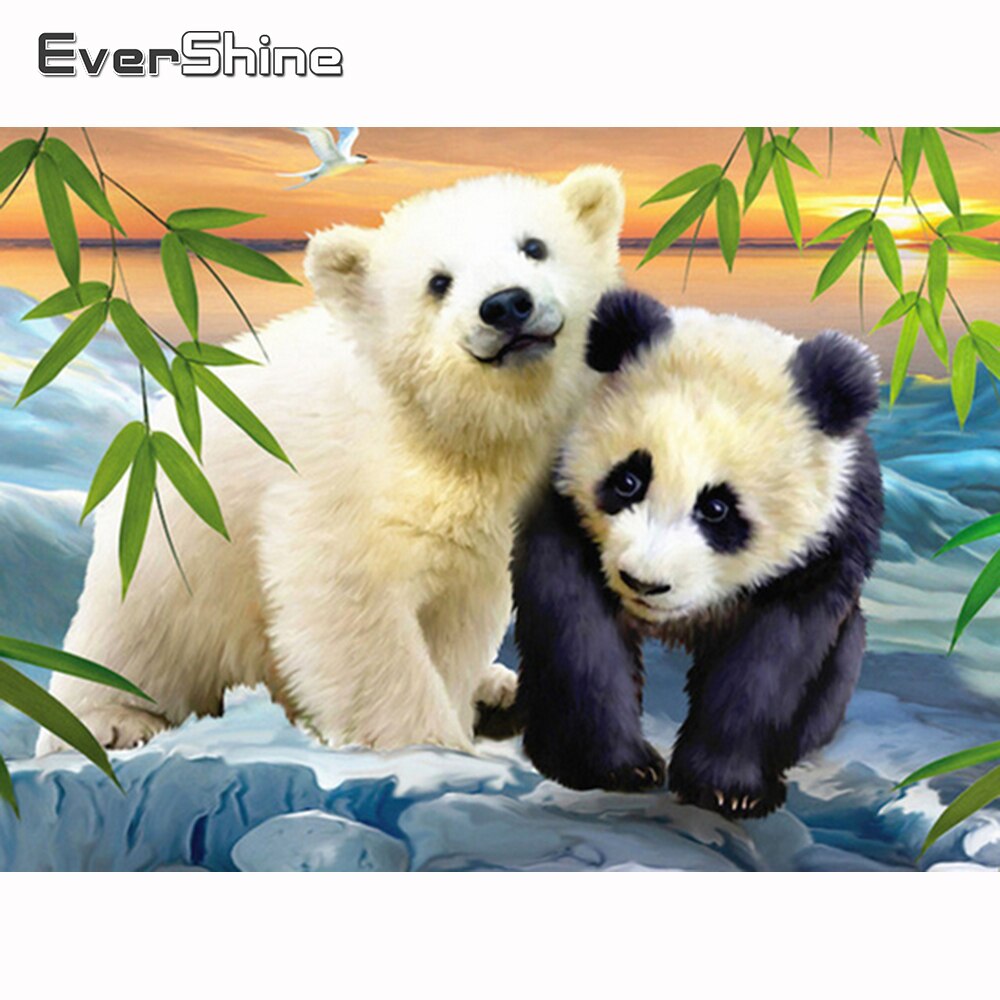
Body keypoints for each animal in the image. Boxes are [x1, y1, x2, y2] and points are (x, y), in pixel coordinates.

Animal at [512, 289, 884, 820]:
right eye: (629, 480)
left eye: (717, 508)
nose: (644, 583)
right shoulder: (563, 505)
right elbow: (575, 627)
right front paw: (609, 766)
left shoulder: (825, 547)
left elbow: (773, 661)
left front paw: (727, 788)